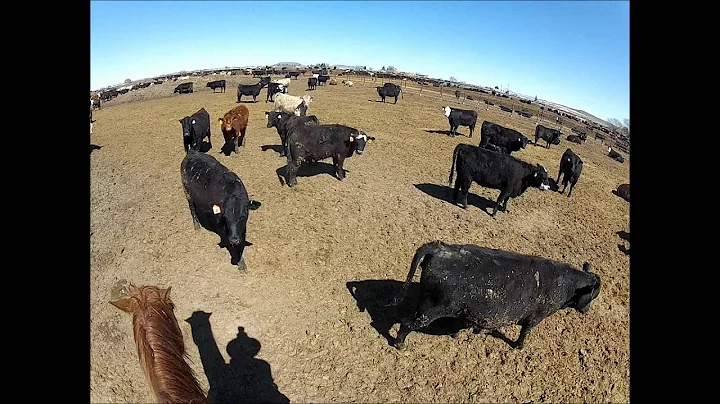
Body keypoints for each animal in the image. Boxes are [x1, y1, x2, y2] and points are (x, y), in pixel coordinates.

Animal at [391, 240, 601, 350]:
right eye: (593, 295)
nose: (587, 311)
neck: (565, 285)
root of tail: (439, 248)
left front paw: (458, 333)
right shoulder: (536, 317)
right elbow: (525, 332)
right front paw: (519, 347)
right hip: (430, 309)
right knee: (407, 323)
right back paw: (399, 345)